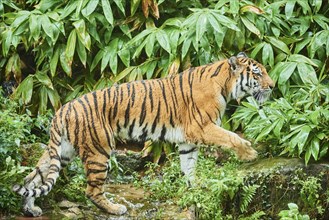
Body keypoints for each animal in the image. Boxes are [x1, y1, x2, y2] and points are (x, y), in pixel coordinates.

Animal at [12, 52, 274, 217]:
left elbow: (189, 166)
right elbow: (231, 137)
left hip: (61, 152)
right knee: (92, 190)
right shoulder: (202, 127)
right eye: (257, 74)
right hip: (99, 150)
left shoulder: (188, 140)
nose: (272, 86)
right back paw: (115, 209)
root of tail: (62, 110)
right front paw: (250, 153)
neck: (226, 85)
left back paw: (30, 209)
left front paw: (194, 188)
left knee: (32, 178)